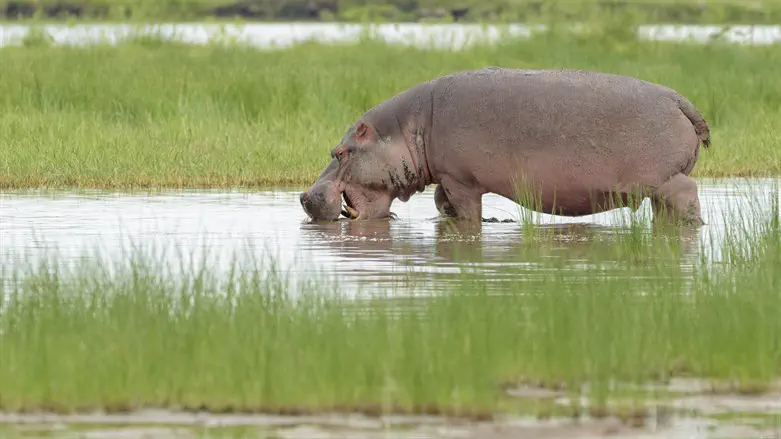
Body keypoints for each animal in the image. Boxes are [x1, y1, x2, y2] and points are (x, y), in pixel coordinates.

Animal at [299, 67, 711, 225]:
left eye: (340, 153)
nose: (304, 196)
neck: (408, 127)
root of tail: (680, 101)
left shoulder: (461, 179)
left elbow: (466, 211)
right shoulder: (447, 178)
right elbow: (441, 205)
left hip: (665, 178)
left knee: (687, 193)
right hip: (656, 186)